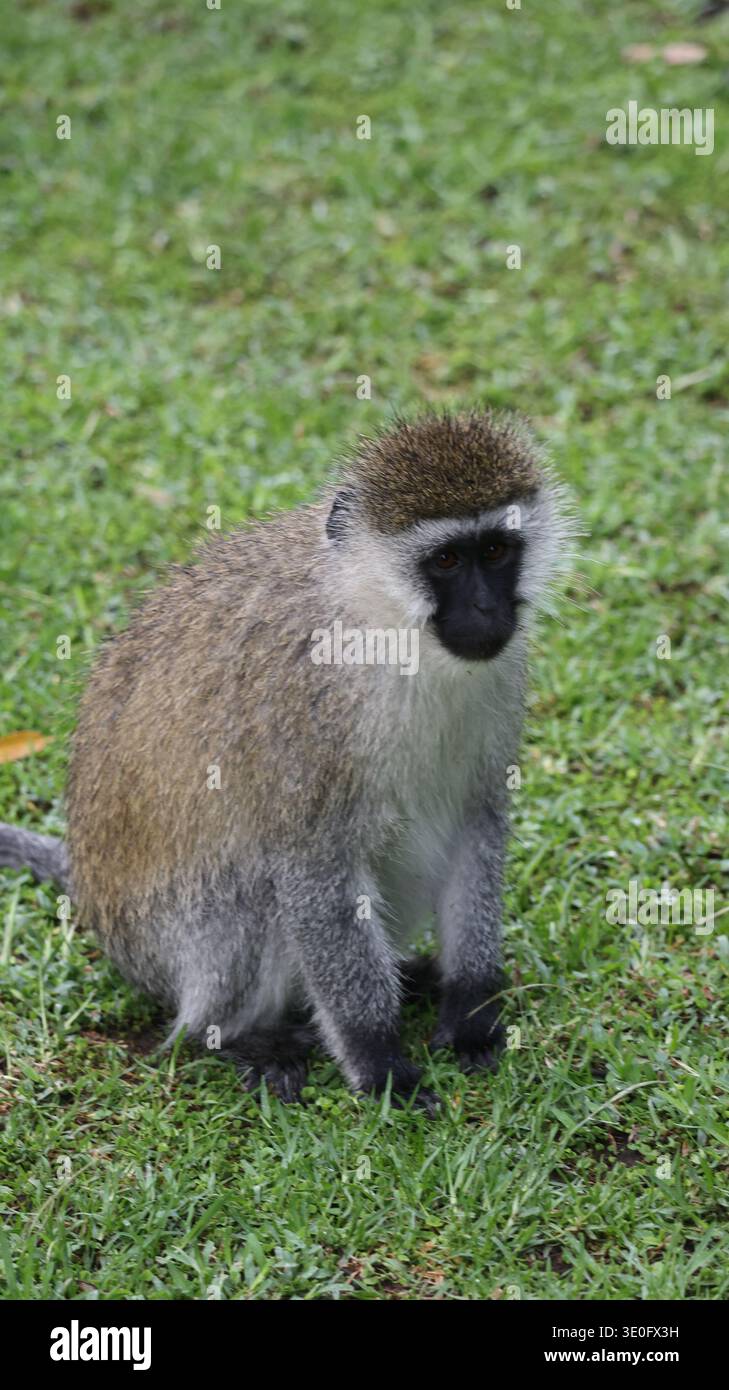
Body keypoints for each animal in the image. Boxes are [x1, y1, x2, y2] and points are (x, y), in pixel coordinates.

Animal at [0, 408, 573, 1107]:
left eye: (494, 551)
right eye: (445, 560)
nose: (487, 608)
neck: (386, 632)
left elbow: (475, 825)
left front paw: (469, 1010)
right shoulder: (303, 711)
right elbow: (311, 869)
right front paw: (381, 1062)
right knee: (248, 905)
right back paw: (237, 1036)